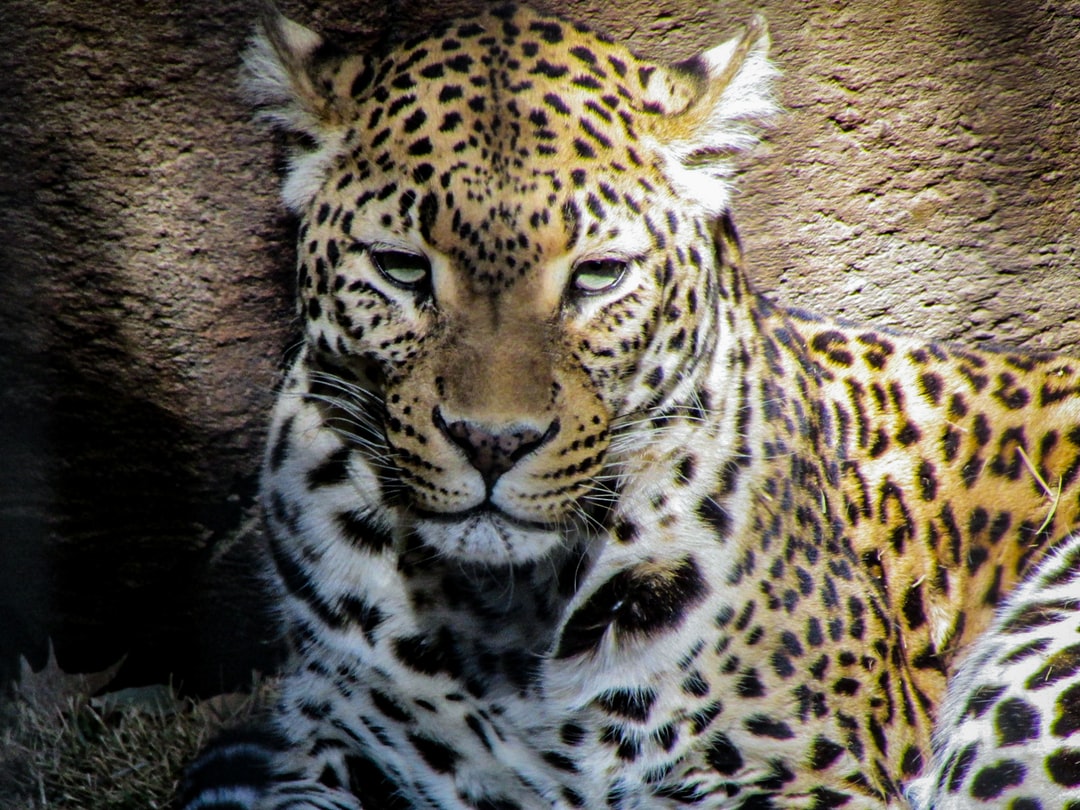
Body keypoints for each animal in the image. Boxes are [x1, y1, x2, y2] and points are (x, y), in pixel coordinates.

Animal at [177, 4, 1080, 809]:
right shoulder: (332, 744)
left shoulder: (806, 777)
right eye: (400, 269)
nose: (492, 443)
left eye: (598, 275)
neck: (500, 616)